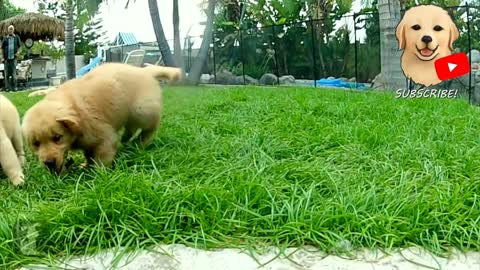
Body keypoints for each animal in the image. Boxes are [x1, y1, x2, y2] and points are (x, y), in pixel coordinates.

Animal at [20, 63, 183, 173]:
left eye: (57, 138)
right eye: (36, 143)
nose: (48, 163)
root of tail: (144, 70)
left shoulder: (105, 138)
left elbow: (102, 159)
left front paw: (98, 175)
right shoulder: (88, 142)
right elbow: (88, 154)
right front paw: (86, 165)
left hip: (142, 110)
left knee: (150, 128)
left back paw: (140, 143)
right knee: (130, 128)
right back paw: (126, 139)